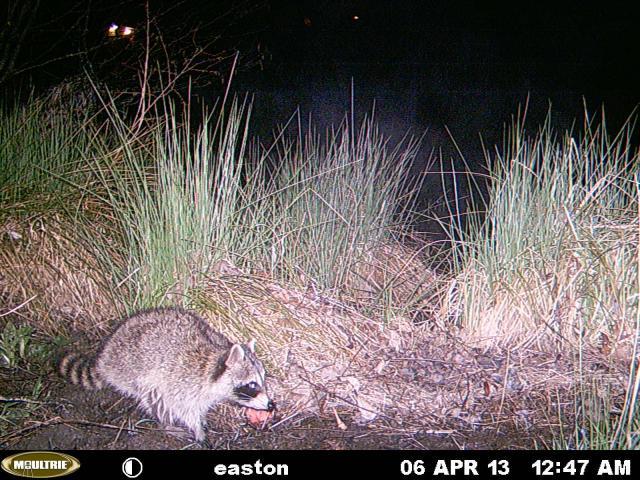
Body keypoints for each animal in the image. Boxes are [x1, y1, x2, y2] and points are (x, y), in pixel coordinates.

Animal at [58, 307, 275, 443]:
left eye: (262, 380)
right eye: (252, 384)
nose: (271, 405)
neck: (213, 362)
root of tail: (106, 354)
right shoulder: (182, 381)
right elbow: (182, 407)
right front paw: (196, 427)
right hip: (134, 370)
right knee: (153, 398)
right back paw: (166, 423)